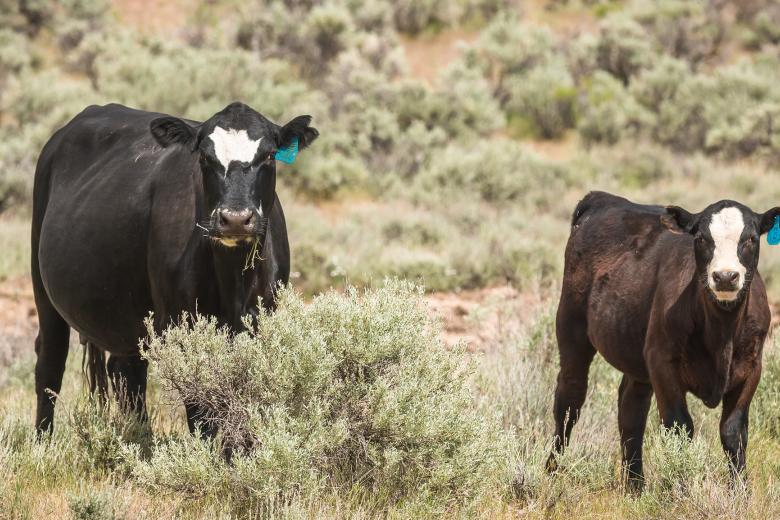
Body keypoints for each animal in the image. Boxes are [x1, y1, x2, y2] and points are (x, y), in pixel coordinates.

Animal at [32, 102, 318, 435]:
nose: (235, 218)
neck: (232, 279)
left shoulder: (261, 321)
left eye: (270, 155)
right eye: (205, 157)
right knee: (49, 366)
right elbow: (201, 414)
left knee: (127, 373)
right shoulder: (182, 326)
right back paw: (43, 441)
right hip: (43, 288)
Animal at [546, 191, 777, 491]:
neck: (721, 332)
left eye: (751, 238)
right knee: (569, 401)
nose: (725, 276)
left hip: (637, 354)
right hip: (571, 328)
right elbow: (680, 427)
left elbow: (733, 430)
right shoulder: (662, 362)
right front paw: (682, 489)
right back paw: (552, 471)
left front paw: (740, 491)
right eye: (701, 238)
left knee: (631, 409)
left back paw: (635, 485)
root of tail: (603, 198)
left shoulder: (752, 367)